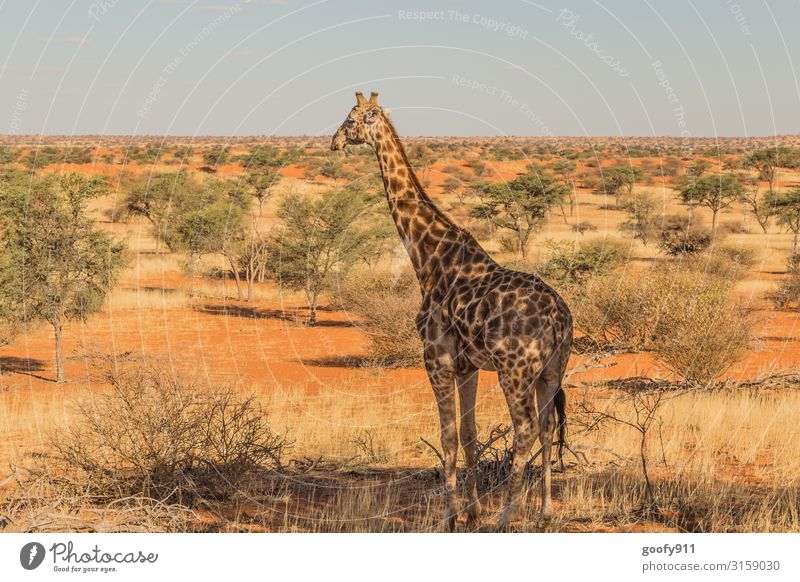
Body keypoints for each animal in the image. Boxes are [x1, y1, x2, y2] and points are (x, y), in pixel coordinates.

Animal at [332, 92, 576, 532]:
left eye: (350, 120)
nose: (333, 142)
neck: (427, 258)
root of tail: (558, 318)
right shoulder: (469, 366)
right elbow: (469, 433)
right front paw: (473, 512)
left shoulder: (436, 358)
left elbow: (446, 436)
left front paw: (451, 516)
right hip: (552, 369)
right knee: (549, 427)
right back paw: (545, 511)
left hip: (515, 371)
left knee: (527, 427)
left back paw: (507, 515)